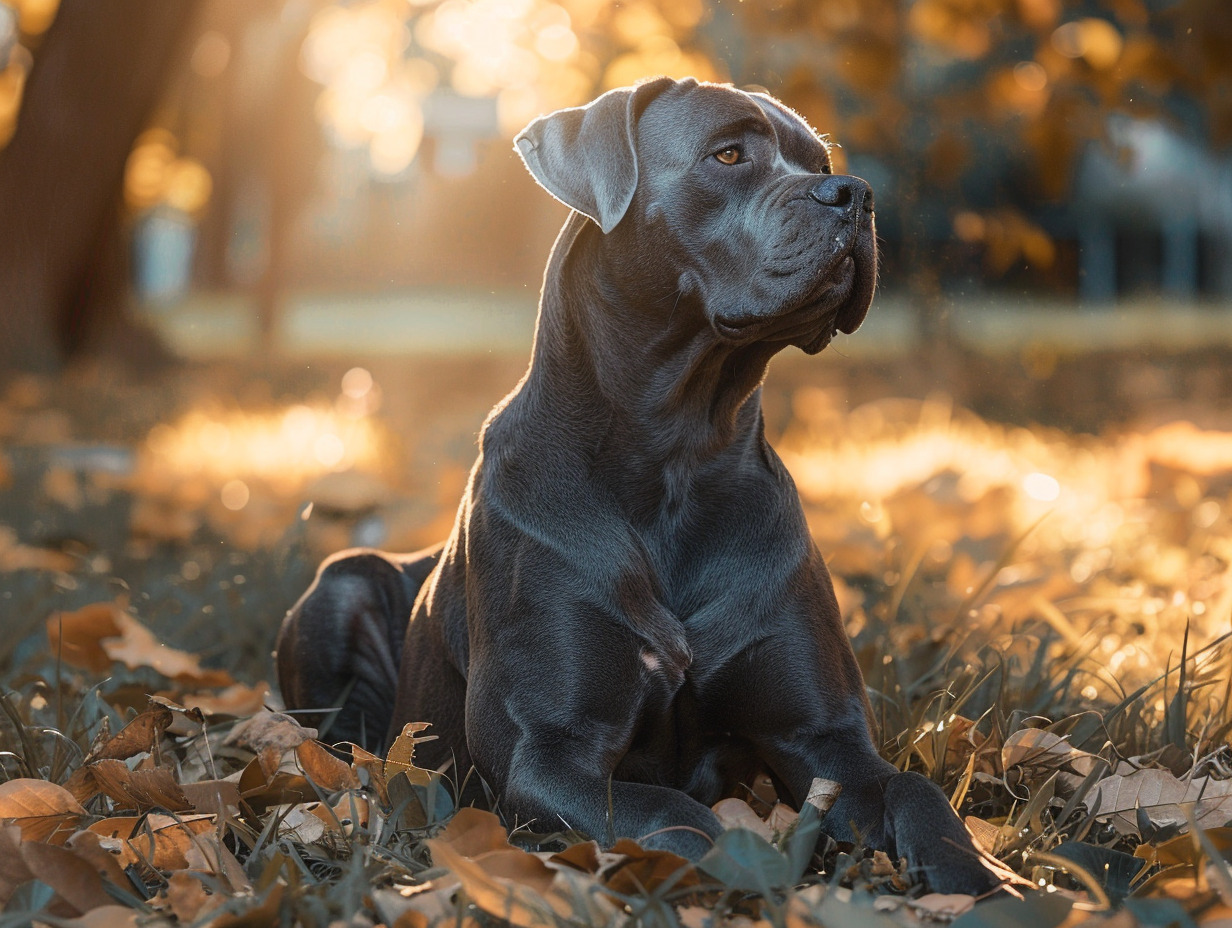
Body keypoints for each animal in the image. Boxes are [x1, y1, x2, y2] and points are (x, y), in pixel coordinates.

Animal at [274, 79, 995, 897]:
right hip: (342, 588)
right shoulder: (549, 756)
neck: (678, 451)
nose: (857, 193)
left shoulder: (826, 740)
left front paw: (983, 881)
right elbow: (673, 813)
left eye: (820, 162)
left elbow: (914, 787)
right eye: (728, 154)